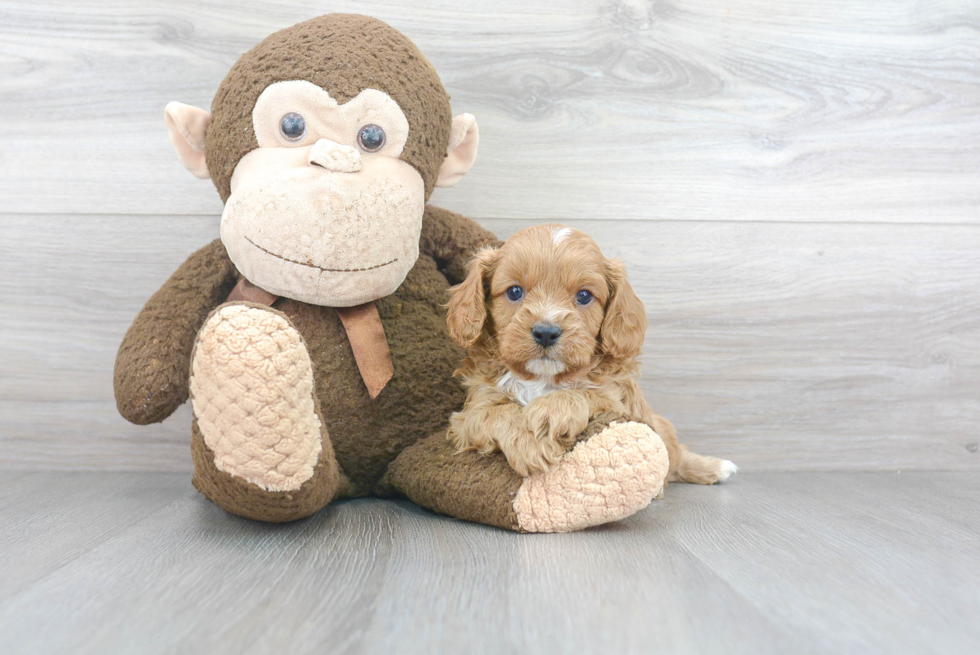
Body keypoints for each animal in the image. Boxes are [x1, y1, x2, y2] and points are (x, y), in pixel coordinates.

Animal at [444, 223, 736, 484]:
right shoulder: (467, 417)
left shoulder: (620, 404)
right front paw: (531, 443)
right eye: (514, 291)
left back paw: (714, 467)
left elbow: (589, 393)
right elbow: (496, 412)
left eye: (584, 295)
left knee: (675, 456)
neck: (542, 380)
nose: (546, 332)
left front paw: (551, 410)